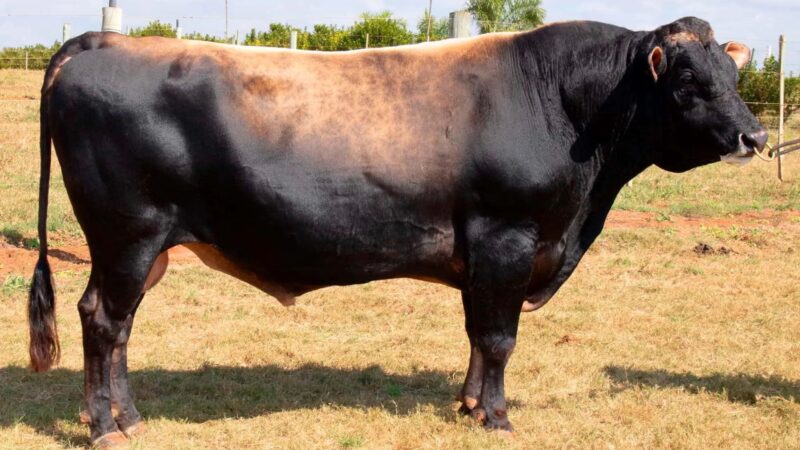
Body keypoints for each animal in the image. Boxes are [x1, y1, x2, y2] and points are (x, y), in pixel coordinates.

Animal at [28, 16, 766, 447]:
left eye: (733, 74)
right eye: (688, 79)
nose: (756, 137)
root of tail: (101, 41)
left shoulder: (483, 255)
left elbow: (476, 334)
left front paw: (469, 404)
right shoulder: (509, 237)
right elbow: (500, 338)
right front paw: (499, 416)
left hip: (138, 248)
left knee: (115, 326)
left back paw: (127, 417)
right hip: (128, 235)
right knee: (104, 322)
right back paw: (105, 428)